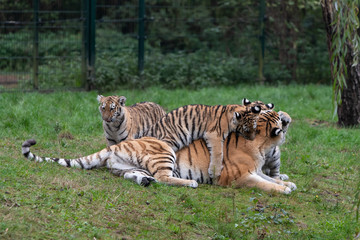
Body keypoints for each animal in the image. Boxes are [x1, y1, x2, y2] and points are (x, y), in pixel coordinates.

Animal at [20, 136, 197, 188]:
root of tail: (114, 146)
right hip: (165, 155)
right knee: (163, 178)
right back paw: (191, 183)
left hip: (126, 166)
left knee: (130, 175)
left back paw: (145, 180)